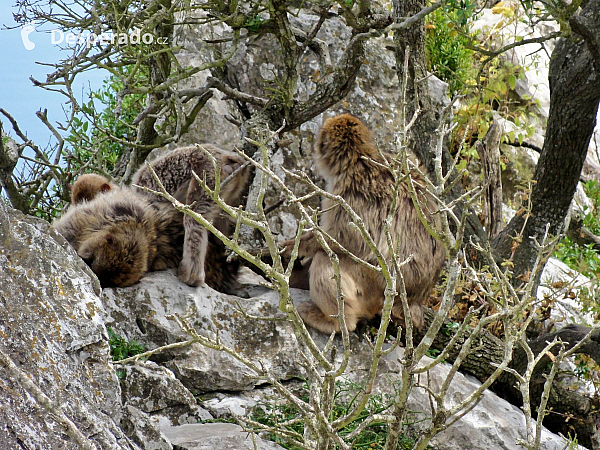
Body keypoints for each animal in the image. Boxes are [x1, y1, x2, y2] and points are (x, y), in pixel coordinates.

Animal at [282, 114, 446, 332]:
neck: (359, 157)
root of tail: (414, 301)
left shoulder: (346, 192)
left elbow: (348, 241)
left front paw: (298, 246)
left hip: (373, 286)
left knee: (328, 257)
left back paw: (337, 321)